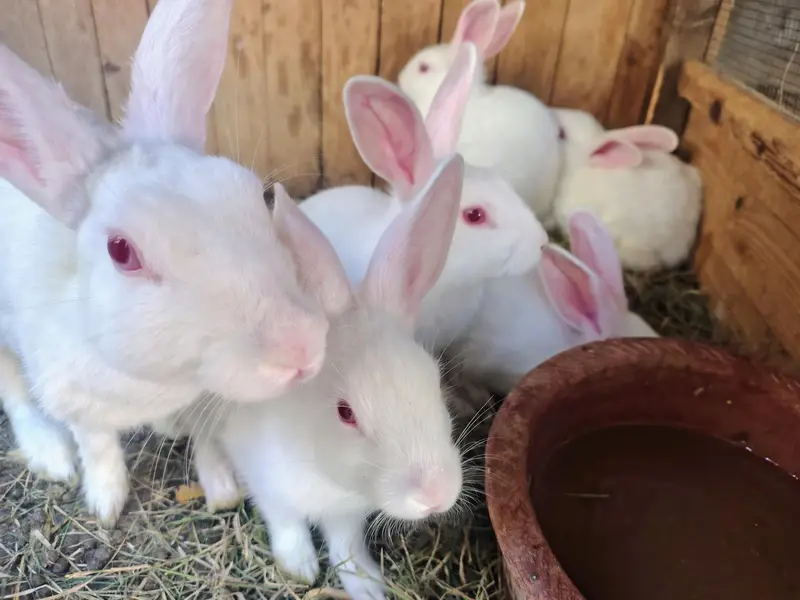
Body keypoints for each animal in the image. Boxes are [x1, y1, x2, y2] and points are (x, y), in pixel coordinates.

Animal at [0, 0, 331, 525]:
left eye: (257, 198)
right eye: (121, 251)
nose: (300, 348)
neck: (160, 383)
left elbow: (204, 434)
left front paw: (217, 480)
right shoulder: (73, 400)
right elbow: (98, 447)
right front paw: (106, 504)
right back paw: (50, 453)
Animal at [168, 155, 467, 600]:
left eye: (435, 383)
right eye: (346, 413)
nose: (436, 494)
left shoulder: (347, 514)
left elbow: (345, 546)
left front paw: (369, 587)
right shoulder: (270, 486)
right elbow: (287, 525)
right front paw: (300, 567)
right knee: (201, 440)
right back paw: (221, 488)